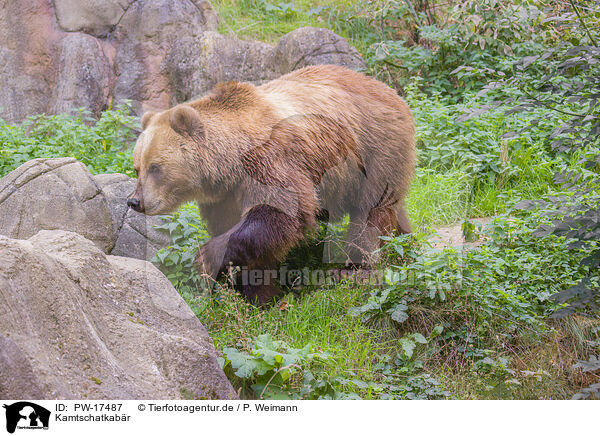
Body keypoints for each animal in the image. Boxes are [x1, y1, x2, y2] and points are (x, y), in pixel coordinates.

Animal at [129, 63, 414, 304]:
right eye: (137, 167)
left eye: (156, 167)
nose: (135, 201)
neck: (232, 161)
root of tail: (390, 91)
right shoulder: (225, 195)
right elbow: (247, 238)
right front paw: (257, 293)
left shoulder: (270, 160)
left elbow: (280, 212)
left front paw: (208, 258)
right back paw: (405, 242)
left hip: (374, 148)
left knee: (371, 211)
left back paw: (355, 266)